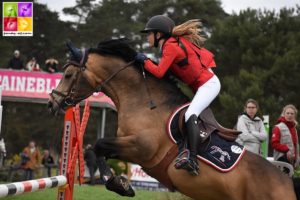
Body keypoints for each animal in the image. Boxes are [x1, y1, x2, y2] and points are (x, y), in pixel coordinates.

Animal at [48, 39, 296, 200]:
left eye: (68, 75)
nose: (52, 103)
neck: (143, 101)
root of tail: (288, 184)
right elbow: (99, 150)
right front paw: (119, 183)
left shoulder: (141, 148)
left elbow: (99, 145)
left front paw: (119, 184)